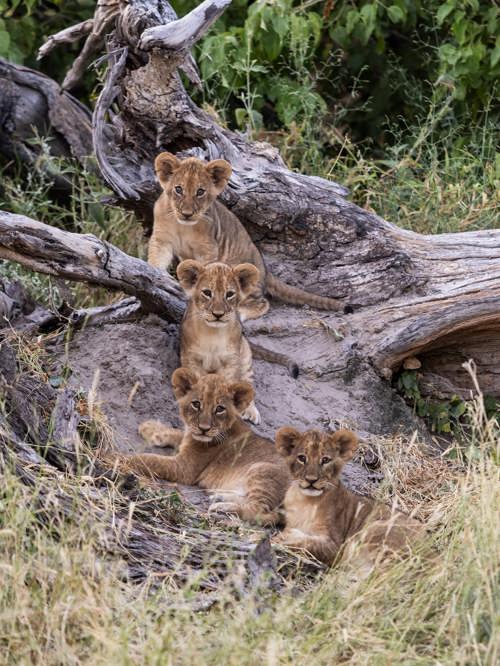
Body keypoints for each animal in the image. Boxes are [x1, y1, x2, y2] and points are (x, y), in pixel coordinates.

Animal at [124, 369, 291, 525]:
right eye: (196, 404)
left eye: (220, 408)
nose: (204, 429)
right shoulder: (189, 437)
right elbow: (176, 433)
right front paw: (149, 427)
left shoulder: (185, 468)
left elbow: (150, 459)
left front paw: (120, 459)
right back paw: (220, 496)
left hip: (262, 470)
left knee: (264, 514)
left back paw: (223, 508)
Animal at [148, 152, 346, 321]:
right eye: (178, 189)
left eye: (200, 191)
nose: (187, 214)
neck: (182, 226)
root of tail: (265, 271)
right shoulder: (161, 239)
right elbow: (156, 260)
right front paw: (157, 275)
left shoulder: (208, 247)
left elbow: (207, 272)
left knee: (261, 302)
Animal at [273, 427, 423, 569]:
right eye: (302, 458)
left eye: (325, 460)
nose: (311, 480)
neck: (305, 501)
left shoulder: (335, 547)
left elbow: (307, 542)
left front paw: (284, 537)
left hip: (373, 530)